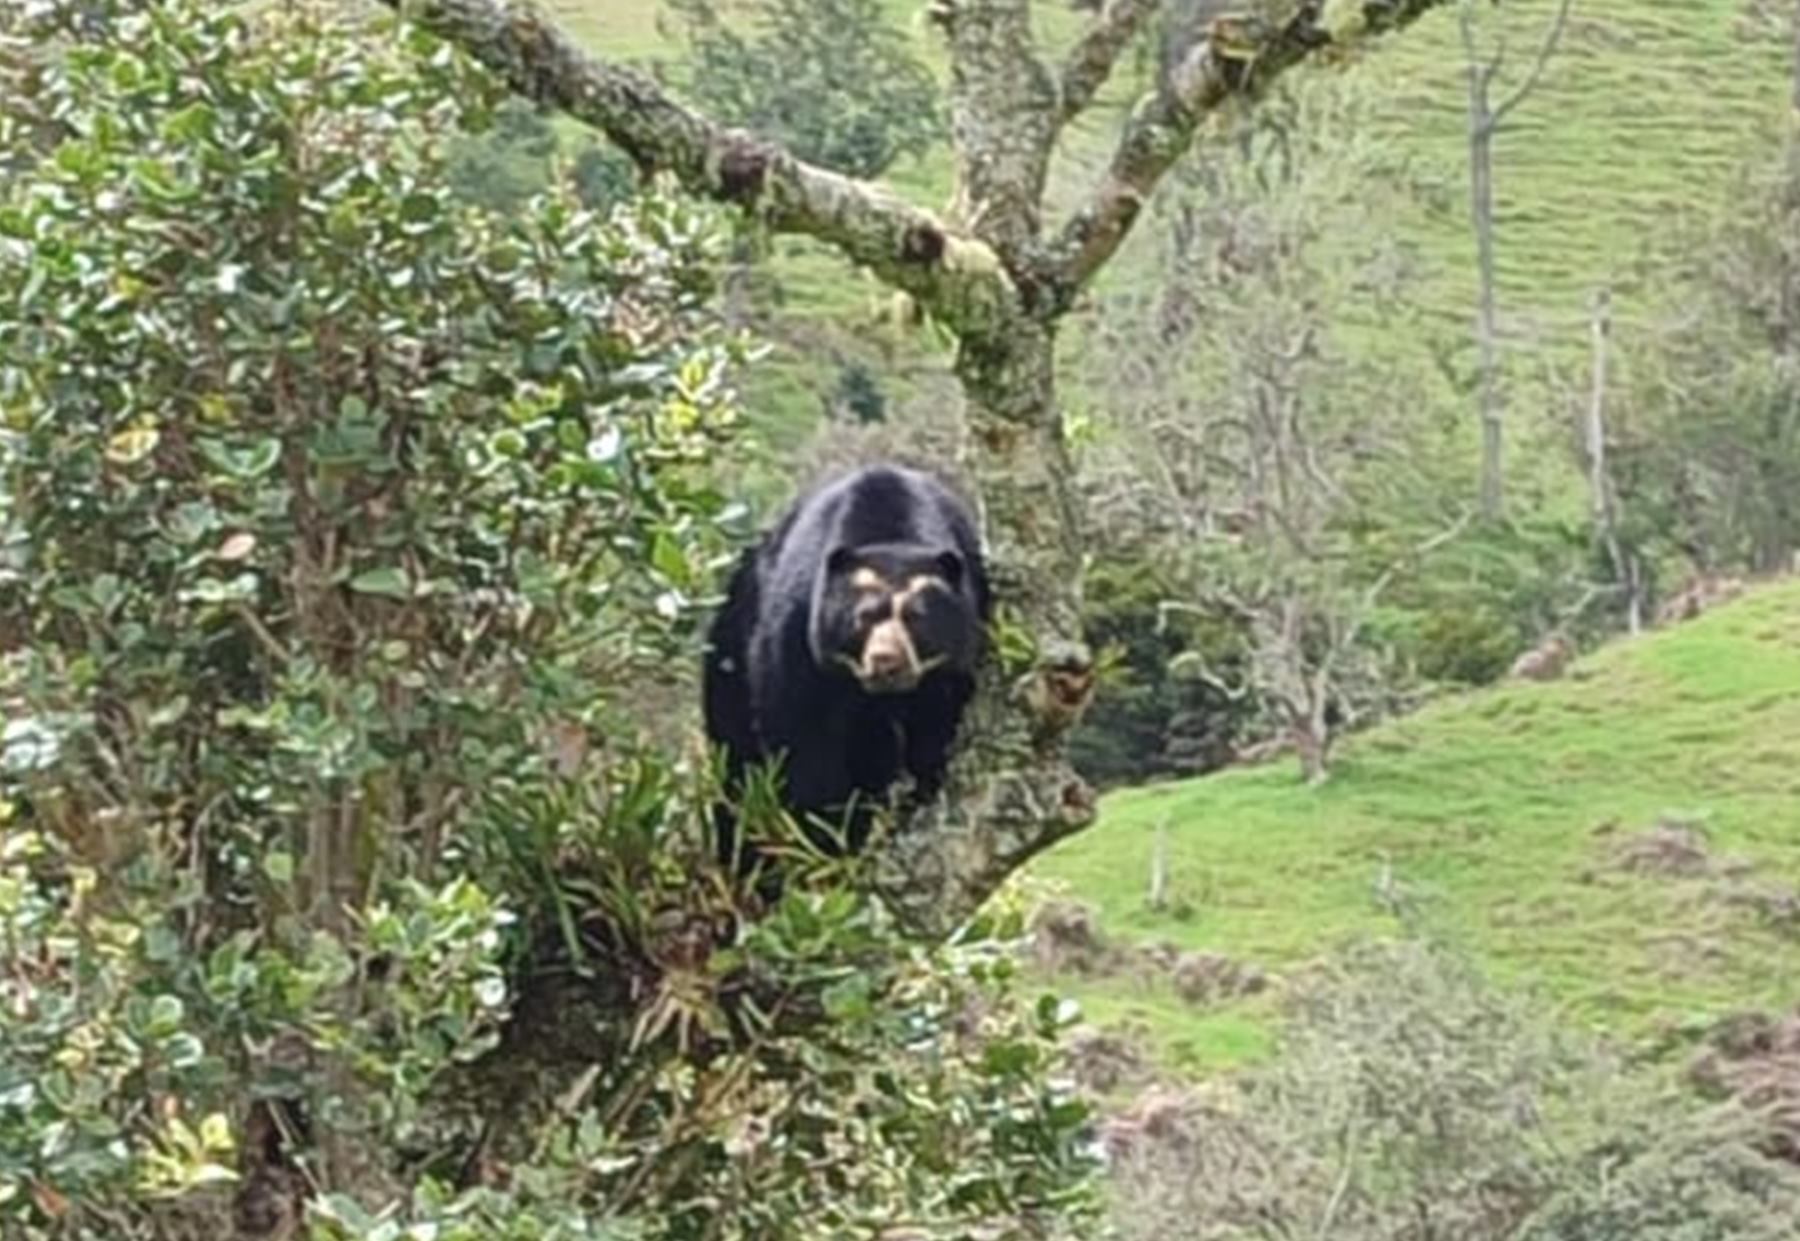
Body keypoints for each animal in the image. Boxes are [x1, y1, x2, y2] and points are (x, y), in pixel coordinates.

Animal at [702, 464, 991, 876]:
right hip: (728, 659)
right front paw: (826, 838)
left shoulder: (961, 649)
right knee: (737, 766)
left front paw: (920, 795)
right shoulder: (796, 633)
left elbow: (939, 725)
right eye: (863, 617)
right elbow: (802, 738)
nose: (886, 660)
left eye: (916, 618)